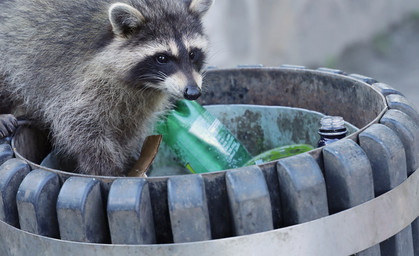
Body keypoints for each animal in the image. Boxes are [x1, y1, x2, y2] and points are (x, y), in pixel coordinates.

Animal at [0, 0, 215, 176]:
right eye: (162, 58)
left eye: (193, 54)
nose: (193, 92)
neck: (144, 84)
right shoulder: (78, 80)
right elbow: (80, 126)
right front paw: (108, 169)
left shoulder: (142, 100)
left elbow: (130, 129)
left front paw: (128, 159)